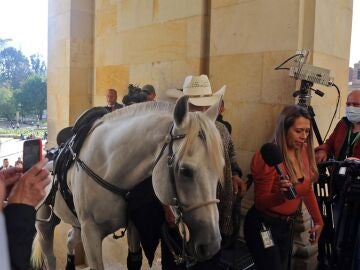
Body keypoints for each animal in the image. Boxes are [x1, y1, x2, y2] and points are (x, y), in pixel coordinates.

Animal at [31, 97, 224, 270]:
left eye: (221, 168)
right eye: (185, 171)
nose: (212, 246)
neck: (108, 166)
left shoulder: (133, 226)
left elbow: (134, 260)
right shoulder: (90, 233)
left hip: (76, 223)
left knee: (70, 239)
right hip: (45, 223)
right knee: (50, 255)